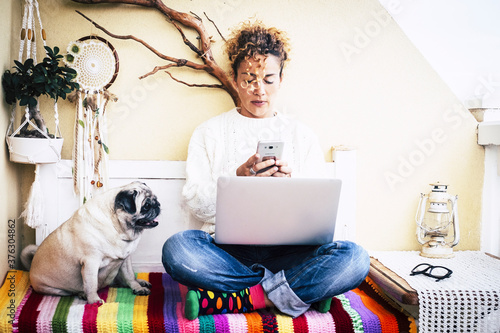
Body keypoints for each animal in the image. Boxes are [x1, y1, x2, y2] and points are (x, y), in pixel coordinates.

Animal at [21, 182, 160, 304]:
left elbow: (130, 276)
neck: (117, 229)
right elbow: (91, 284)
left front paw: (137, 287)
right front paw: (94, 300)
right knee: (72, 291)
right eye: (146, 206)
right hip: (54, 289)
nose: (157, 205)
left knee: (122, 280)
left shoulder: (125, 259)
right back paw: (82, 294)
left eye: (156, 200)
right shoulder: (90, 263)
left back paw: (140, 282)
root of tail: (31, 266)